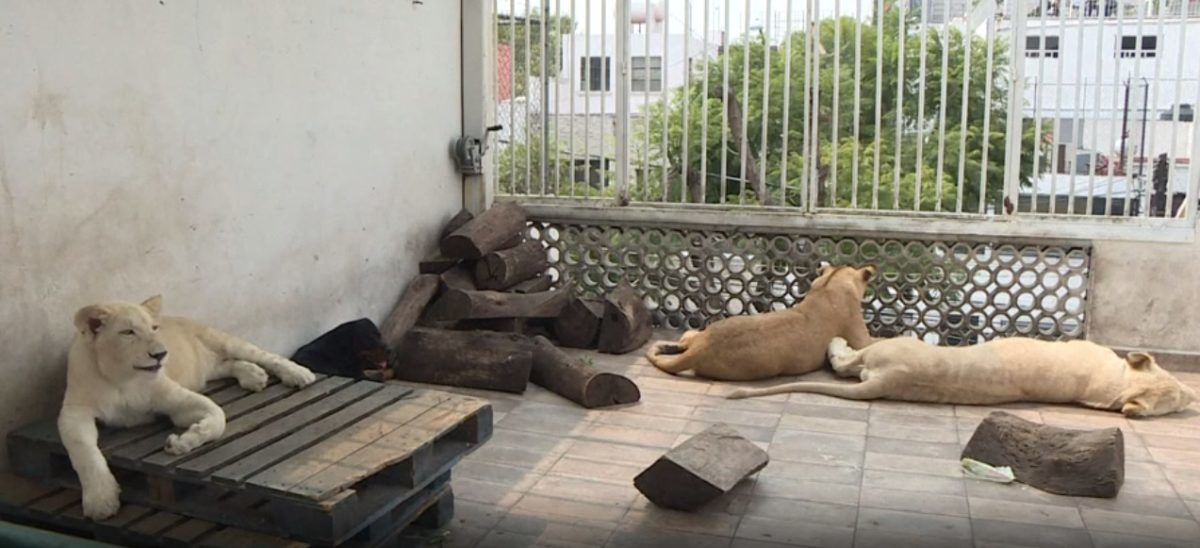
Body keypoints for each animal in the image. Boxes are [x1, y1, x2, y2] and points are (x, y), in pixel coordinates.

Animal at [61, 294, 316, 518]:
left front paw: (182, 443)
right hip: (206, 368)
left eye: (154, 328)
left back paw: (298, 374)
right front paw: (101, 500)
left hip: (225, 341)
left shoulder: (174, 397)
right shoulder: (74, 412)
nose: (161, 354)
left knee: (265, 355)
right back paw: (253, 376)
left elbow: (218, 417)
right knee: (226, 364)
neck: (122, 380)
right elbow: (84, 452)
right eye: (127, 332)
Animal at [648, 265, 873, 381]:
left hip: (698, 333)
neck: (829, 284)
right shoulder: (859, 336)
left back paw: (670, 346)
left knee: (684, 339)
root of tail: (701, 348)